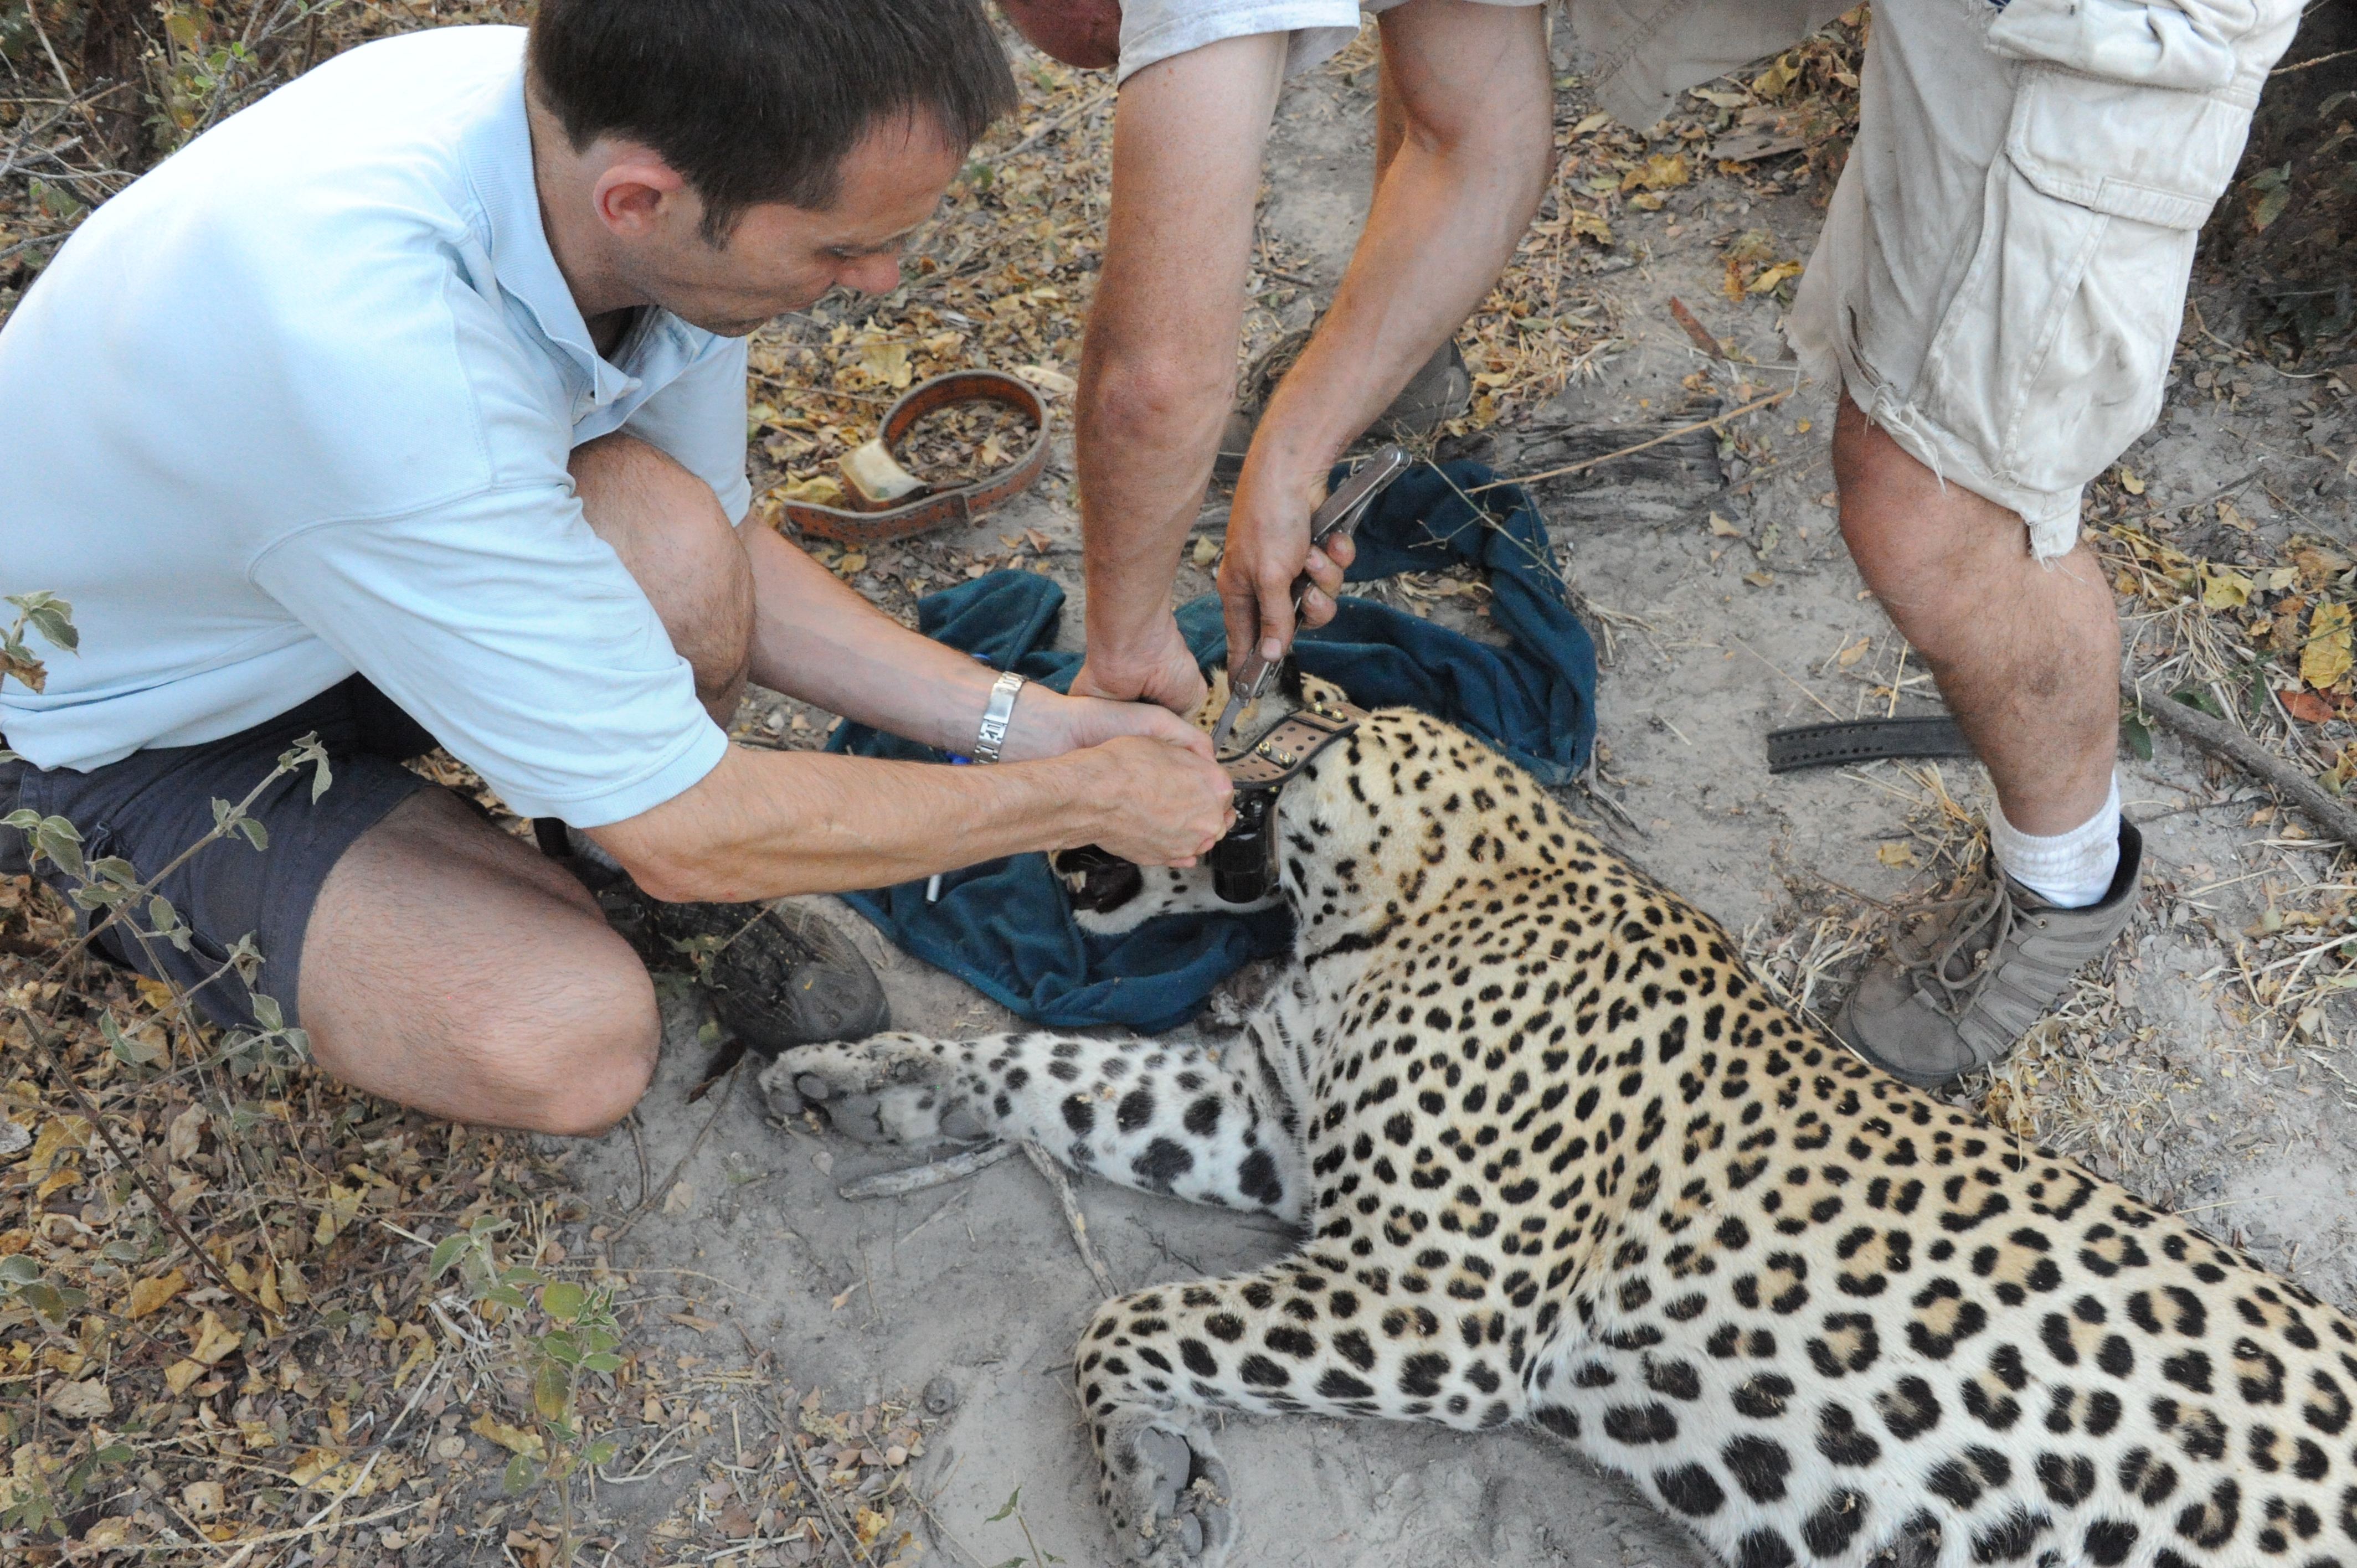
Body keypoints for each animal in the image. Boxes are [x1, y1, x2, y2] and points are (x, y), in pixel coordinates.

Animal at [759, 693, 2357, 1565]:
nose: (1049, 850)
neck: (1412, 899)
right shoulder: (1260, 1120)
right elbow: (1052, 1070)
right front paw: (862, 1078)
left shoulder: (1434, 1298)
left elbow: (1128, 1313)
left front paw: (1148, 1485)